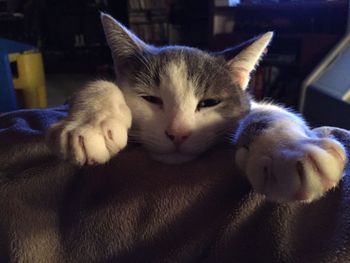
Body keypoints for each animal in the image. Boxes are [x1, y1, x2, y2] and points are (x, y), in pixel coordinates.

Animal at [47, 13, 346, 204]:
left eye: (209, 103)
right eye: (151, 99)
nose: (178, 133)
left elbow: (267, 111)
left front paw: (290, 152)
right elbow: (102, 84)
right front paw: (87, 125)